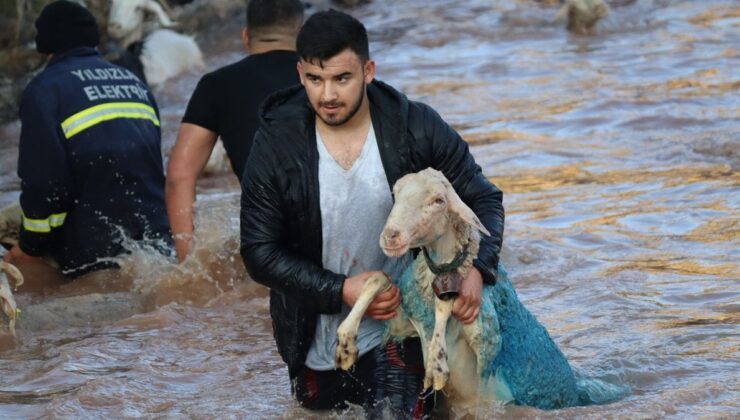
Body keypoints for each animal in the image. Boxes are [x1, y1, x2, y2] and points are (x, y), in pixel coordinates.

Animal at [334, 168, 624, 410]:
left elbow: (446, 303)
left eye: (438, 201)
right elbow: (377, 279)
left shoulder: (484, 348)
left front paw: (437, 366)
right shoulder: (405, 324)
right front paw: (346, 345)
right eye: (396, 193)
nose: (391, 236)